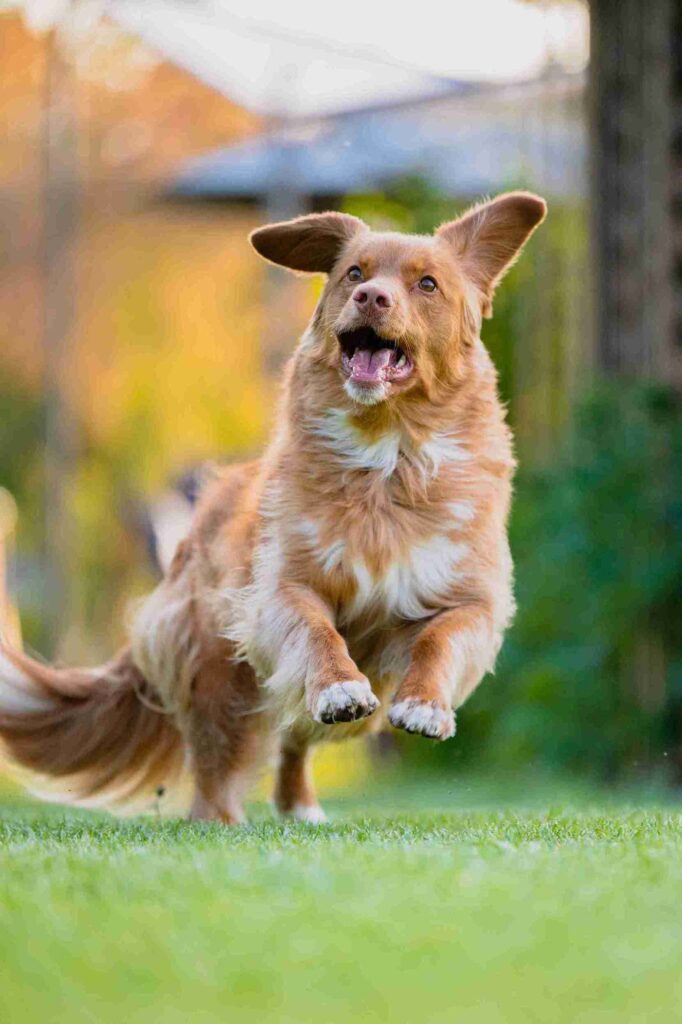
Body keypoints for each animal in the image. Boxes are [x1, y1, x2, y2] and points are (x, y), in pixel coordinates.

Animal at [0, 192, 544, 819]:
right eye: (353, 273)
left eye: (427, 283)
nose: (371, 296)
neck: (386, 458)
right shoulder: (281, 588)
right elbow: (316, 634)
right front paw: (338, 684)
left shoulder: (470, 596)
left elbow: (440, 639)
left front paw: (427, 706)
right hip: (216, 668)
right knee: (218, 757)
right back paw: (219, 817)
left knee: (296, 736)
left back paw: (300, 805)